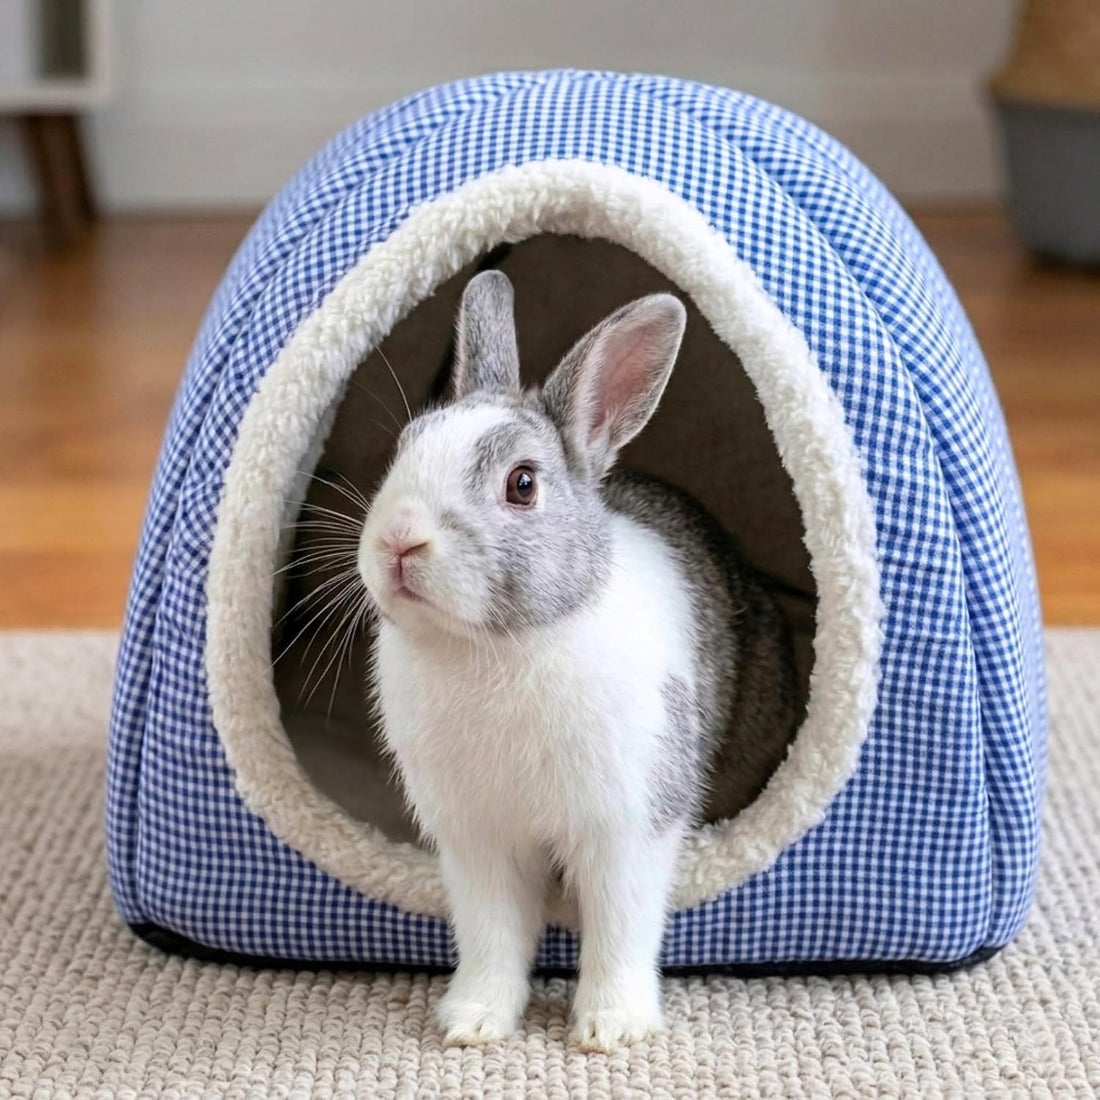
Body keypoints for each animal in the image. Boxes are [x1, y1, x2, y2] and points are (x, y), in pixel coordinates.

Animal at [357, 270, 798, 1051]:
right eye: (405, 447)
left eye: (523, 484)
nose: (399, 542)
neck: (499, 644)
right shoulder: (477, 842)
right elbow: (492, 934)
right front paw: (472, 1023)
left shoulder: (628, 829)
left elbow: (621, 927)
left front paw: (609, 1030)